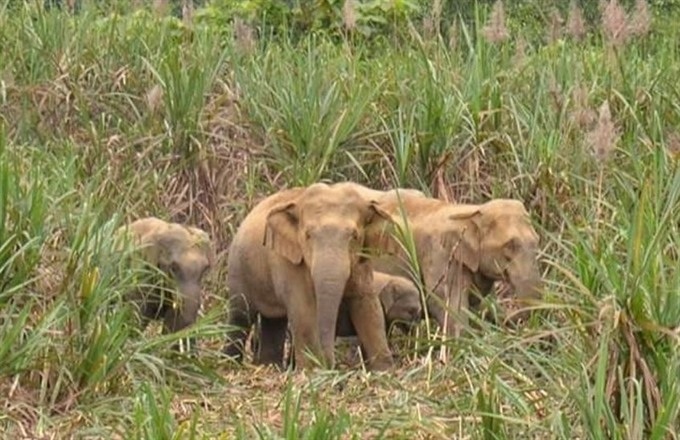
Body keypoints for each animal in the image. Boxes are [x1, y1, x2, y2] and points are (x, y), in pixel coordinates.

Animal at [223, 182, 396, 370]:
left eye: (355, 236)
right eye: (307, 235)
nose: (330, 365)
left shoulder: (362, 260)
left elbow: (367, 305)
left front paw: (384, 370)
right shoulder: (289, 261)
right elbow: (304, 308)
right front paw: (312, 370)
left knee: (274, 321)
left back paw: (269, 366)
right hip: (238, 269)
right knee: (240, 316)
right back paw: (229, 364)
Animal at [368, 195, 543, 339]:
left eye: (537, 241)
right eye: (510, 246)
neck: (471, 211)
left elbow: (478, 302)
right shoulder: (441, 255)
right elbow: (444, 303)